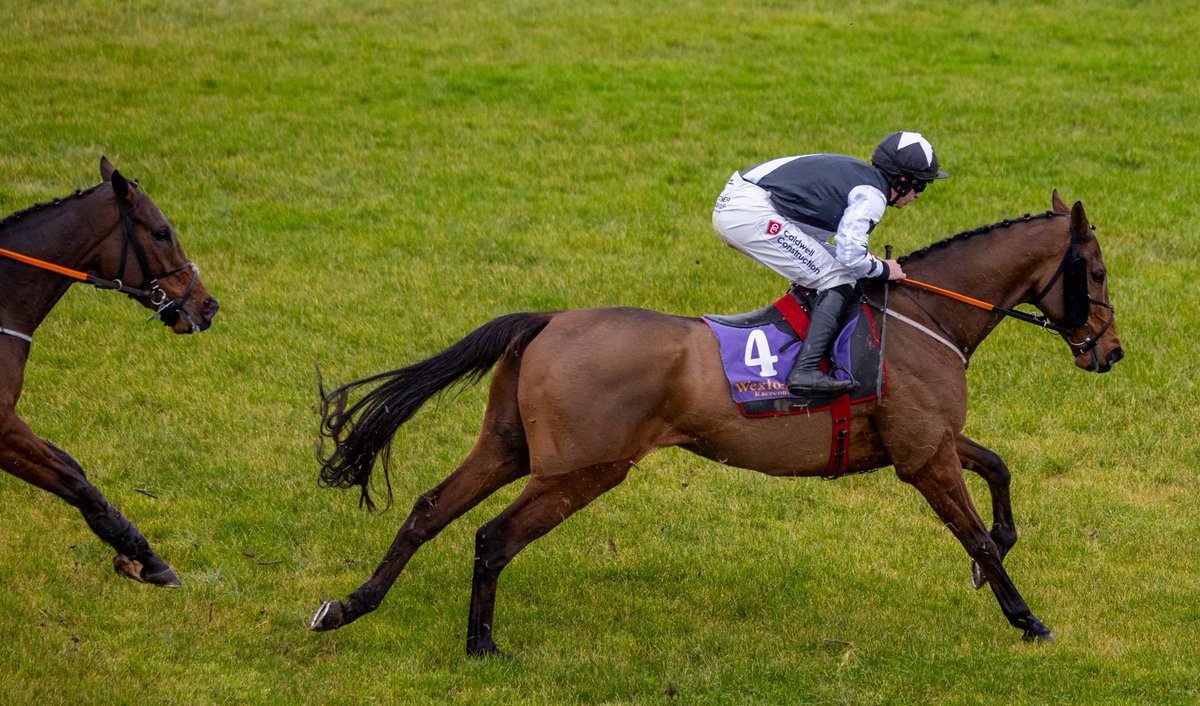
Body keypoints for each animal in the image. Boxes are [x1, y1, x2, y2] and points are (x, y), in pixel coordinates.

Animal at [0, 158, 219, 583]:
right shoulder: (2, 425)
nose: (208, 306)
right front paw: (147, 557)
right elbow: (76, 483)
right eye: (162, 232)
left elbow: (73, 466)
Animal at [312, 189, 1123, 653]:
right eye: (1097, 271)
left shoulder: (928, 444)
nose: (1110, 352)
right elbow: (977, 535)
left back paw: (347, 607)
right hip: (584, 469)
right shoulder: (924, 456)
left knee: (427, 510)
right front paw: (1027, 620)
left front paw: (1003, 561)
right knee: (492, 538)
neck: (925, 314)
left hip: (508, 448)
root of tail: (548, 321)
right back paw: (481, 647)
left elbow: (999, 471)